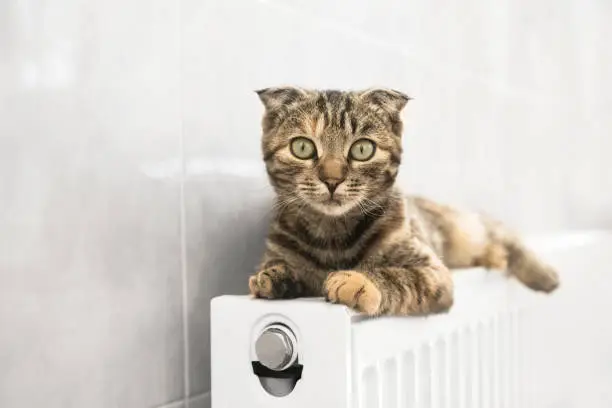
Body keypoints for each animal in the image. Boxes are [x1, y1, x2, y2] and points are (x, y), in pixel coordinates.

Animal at [247, 86, 560, 316]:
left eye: (362, 149)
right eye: (302, 147)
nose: (332, 179)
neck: (333, 236)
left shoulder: (433, 272)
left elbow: (396, 276)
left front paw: (359, 281)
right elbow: (278, 266)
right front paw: (273, 276)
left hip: (466, 228)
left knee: (505, 237)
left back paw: (541, 273)